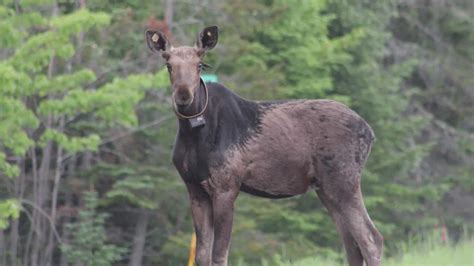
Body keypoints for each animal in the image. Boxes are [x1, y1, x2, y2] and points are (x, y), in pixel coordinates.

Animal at [144, 25, 382, 266]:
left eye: (199, 64)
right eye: (168, 65)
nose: (183, 94)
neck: (194, 135)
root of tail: (370, 132)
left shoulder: (226, 186)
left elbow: (219, 255)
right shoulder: (194, 189)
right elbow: (201, 256)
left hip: (343, 180)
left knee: (371, 238)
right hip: (327, 188)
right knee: (352, 242)